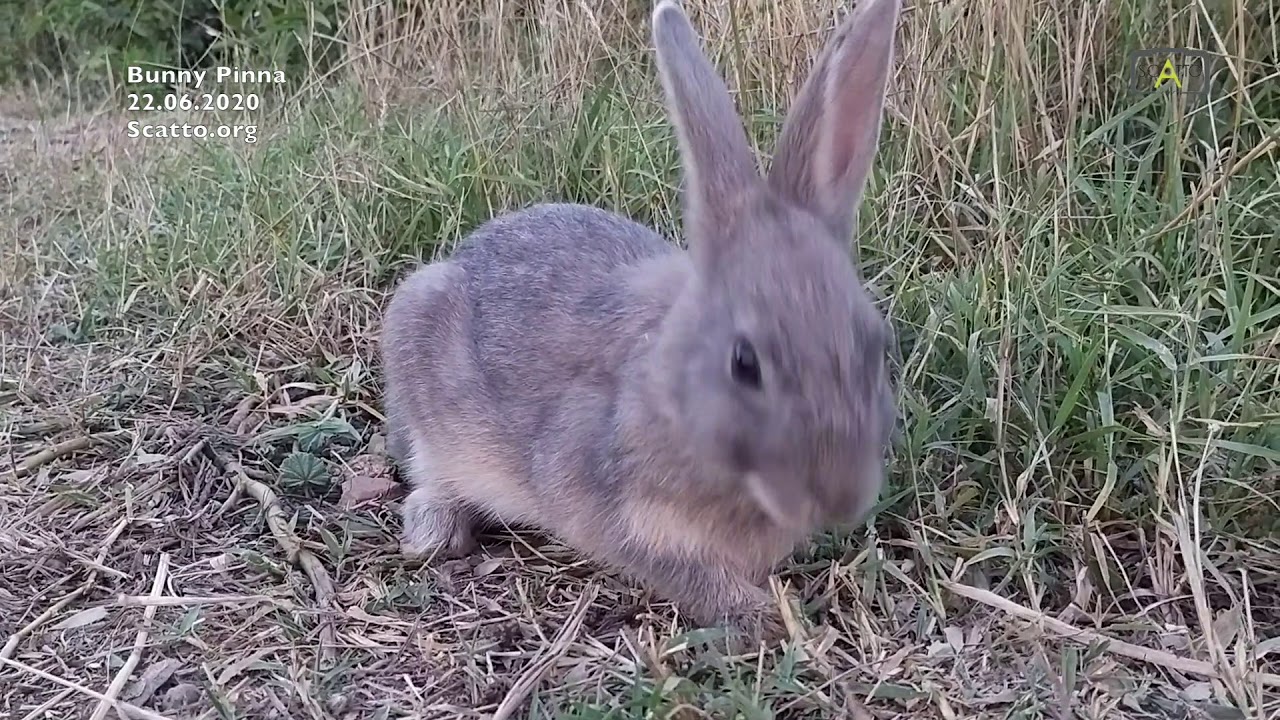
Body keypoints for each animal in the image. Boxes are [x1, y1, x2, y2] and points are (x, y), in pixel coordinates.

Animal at [380, 0, 900, 644]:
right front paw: (762, 617)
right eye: (744, 363)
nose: (841, 501)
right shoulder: (612, 505)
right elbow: (684, 574)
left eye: (879, 347)